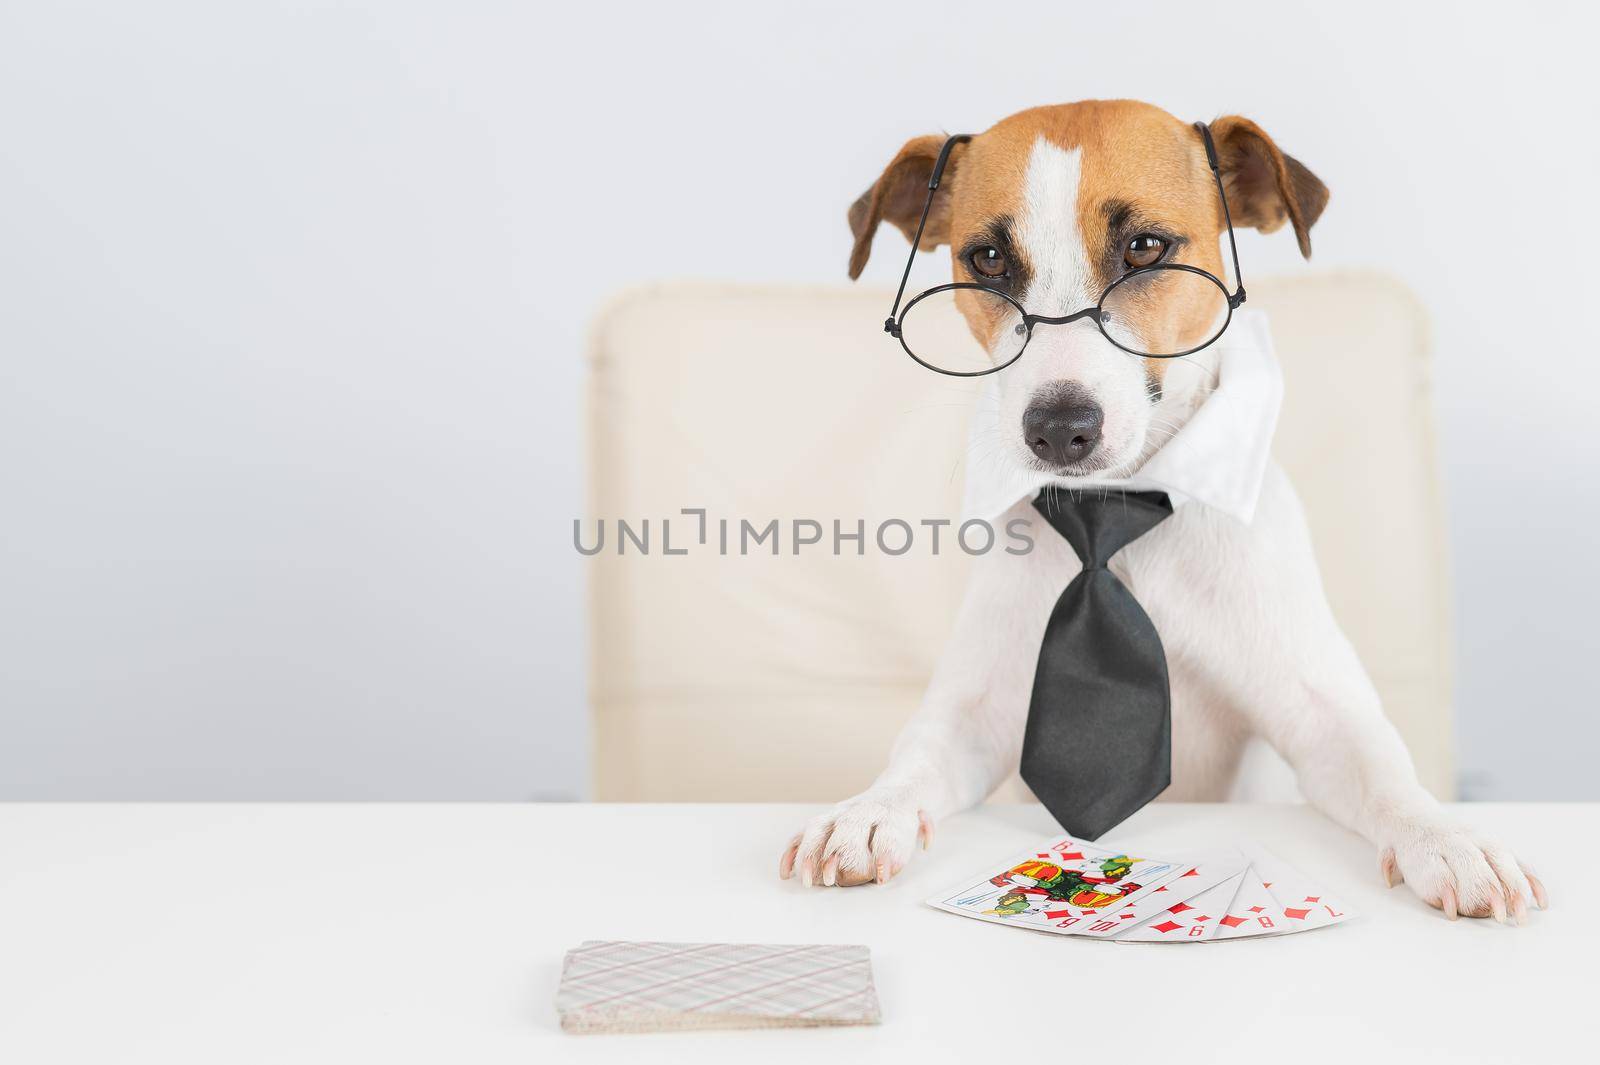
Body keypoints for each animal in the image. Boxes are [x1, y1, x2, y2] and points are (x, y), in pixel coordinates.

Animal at [777, 97, 1548, 921]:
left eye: (1145, 247)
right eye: (986, 260)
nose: (1058, 428)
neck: (1116, 515)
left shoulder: (1323, 717)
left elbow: (1387, 774)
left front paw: (1450, 841)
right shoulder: (973, 716)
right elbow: (917, 755)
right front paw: (866, 812)